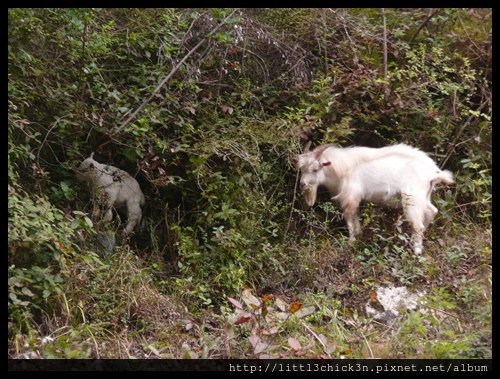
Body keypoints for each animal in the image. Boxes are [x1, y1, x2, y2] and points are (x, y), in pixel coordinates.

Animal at [294, 144, 456, 254]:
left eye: (315, 169)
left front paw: (351, 242)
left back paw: (416, 250)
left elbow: (349, 218)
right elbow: (356, 217)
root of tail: (432, 173)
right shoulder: (355, 199)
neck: (342, 170)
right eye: (301, 169)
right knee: (432, 211)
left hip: (412, 199)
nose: (302, 184)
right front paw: (359, 234)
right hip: (424, 197)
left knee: (418, 225)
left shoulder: (350, 197)